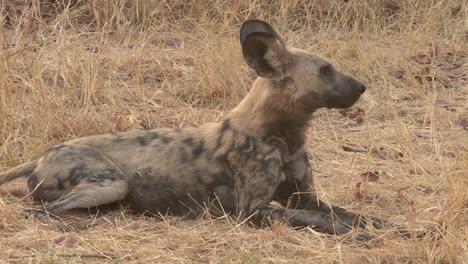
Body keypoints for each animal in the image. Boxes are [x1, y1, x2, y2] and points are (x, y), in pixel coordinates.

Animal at [0, 20, 402, 239]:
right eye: (325, 71)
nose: (362, 86)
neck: (284, 136)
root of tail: (40, 156)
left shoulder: (304, 198)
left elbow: (359, 215)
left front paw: (398, 229)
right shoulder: (255, 210)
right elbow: (324, 221)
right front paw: (358, 237)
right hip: (112, 183)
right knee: (38, 212)